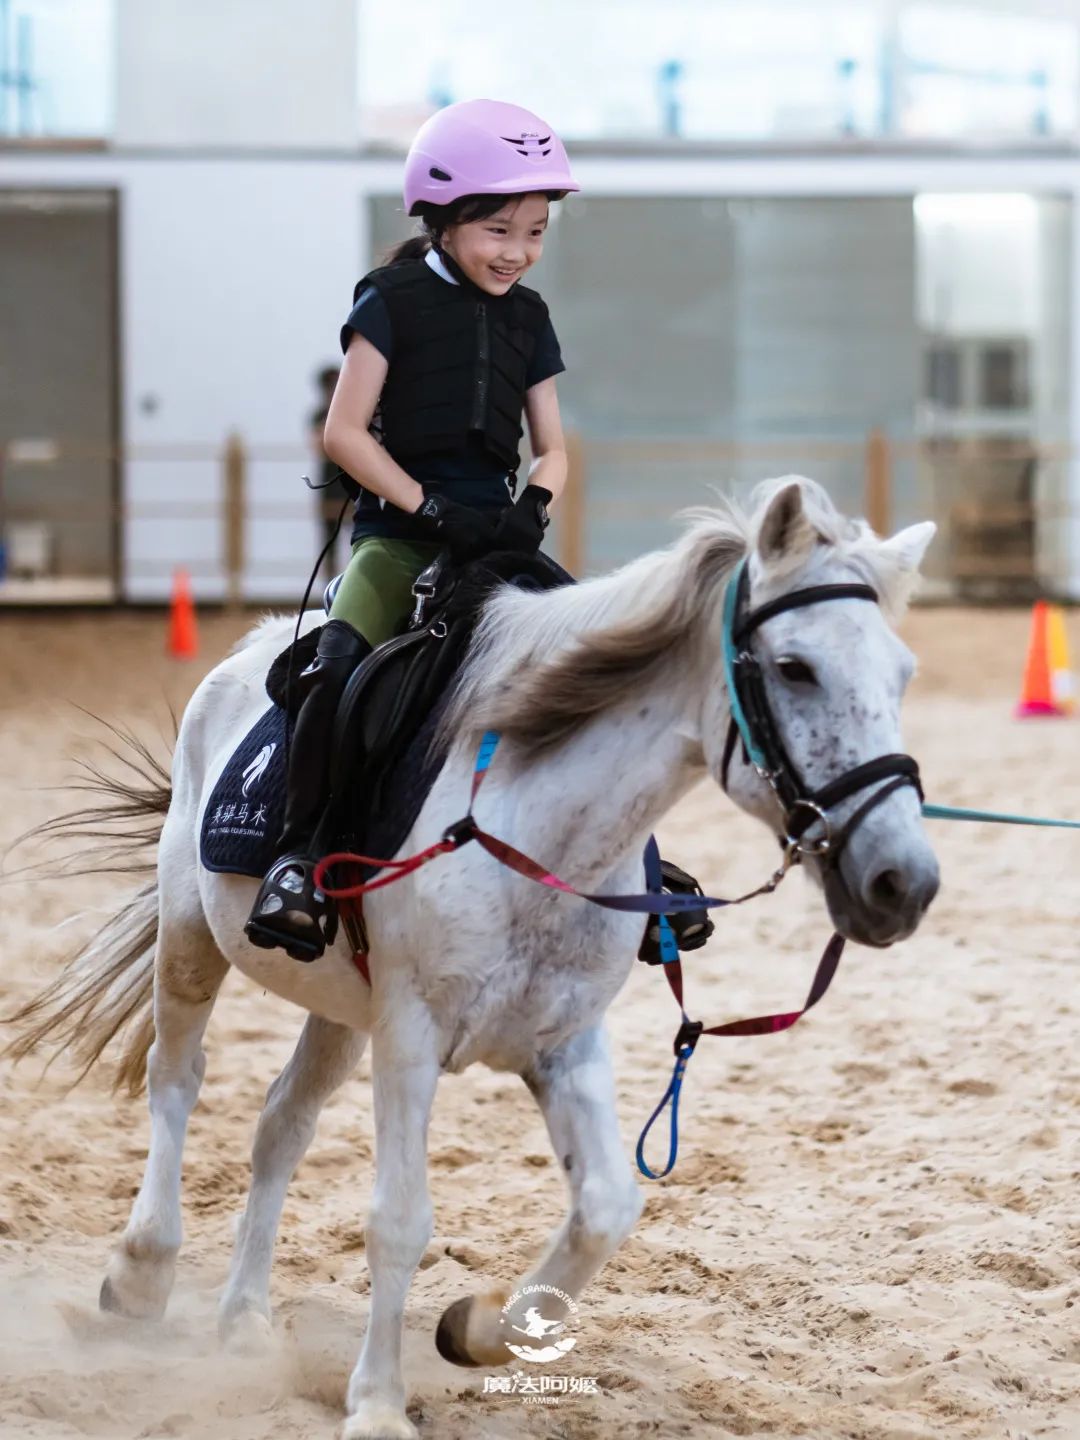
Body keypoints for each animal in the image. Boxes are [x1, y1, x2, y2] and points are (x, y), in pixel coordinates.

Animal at [6, 480, 938, 1440]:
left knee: (280, 1125)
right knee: (176, 1081)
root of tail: (246, 655)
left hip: (344, 1012)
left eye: (901, 674)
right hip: (195, 941)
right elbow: (400, 1220)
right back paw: (141, 1273)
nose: (903, 881)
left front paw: (480, 1330)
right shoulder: (412, 1035)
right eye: (794, 668)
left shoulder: (563, 1043)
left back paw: (243, 1321)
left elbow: (606, 1207)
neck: (537, 828)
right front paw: (378, 1404)